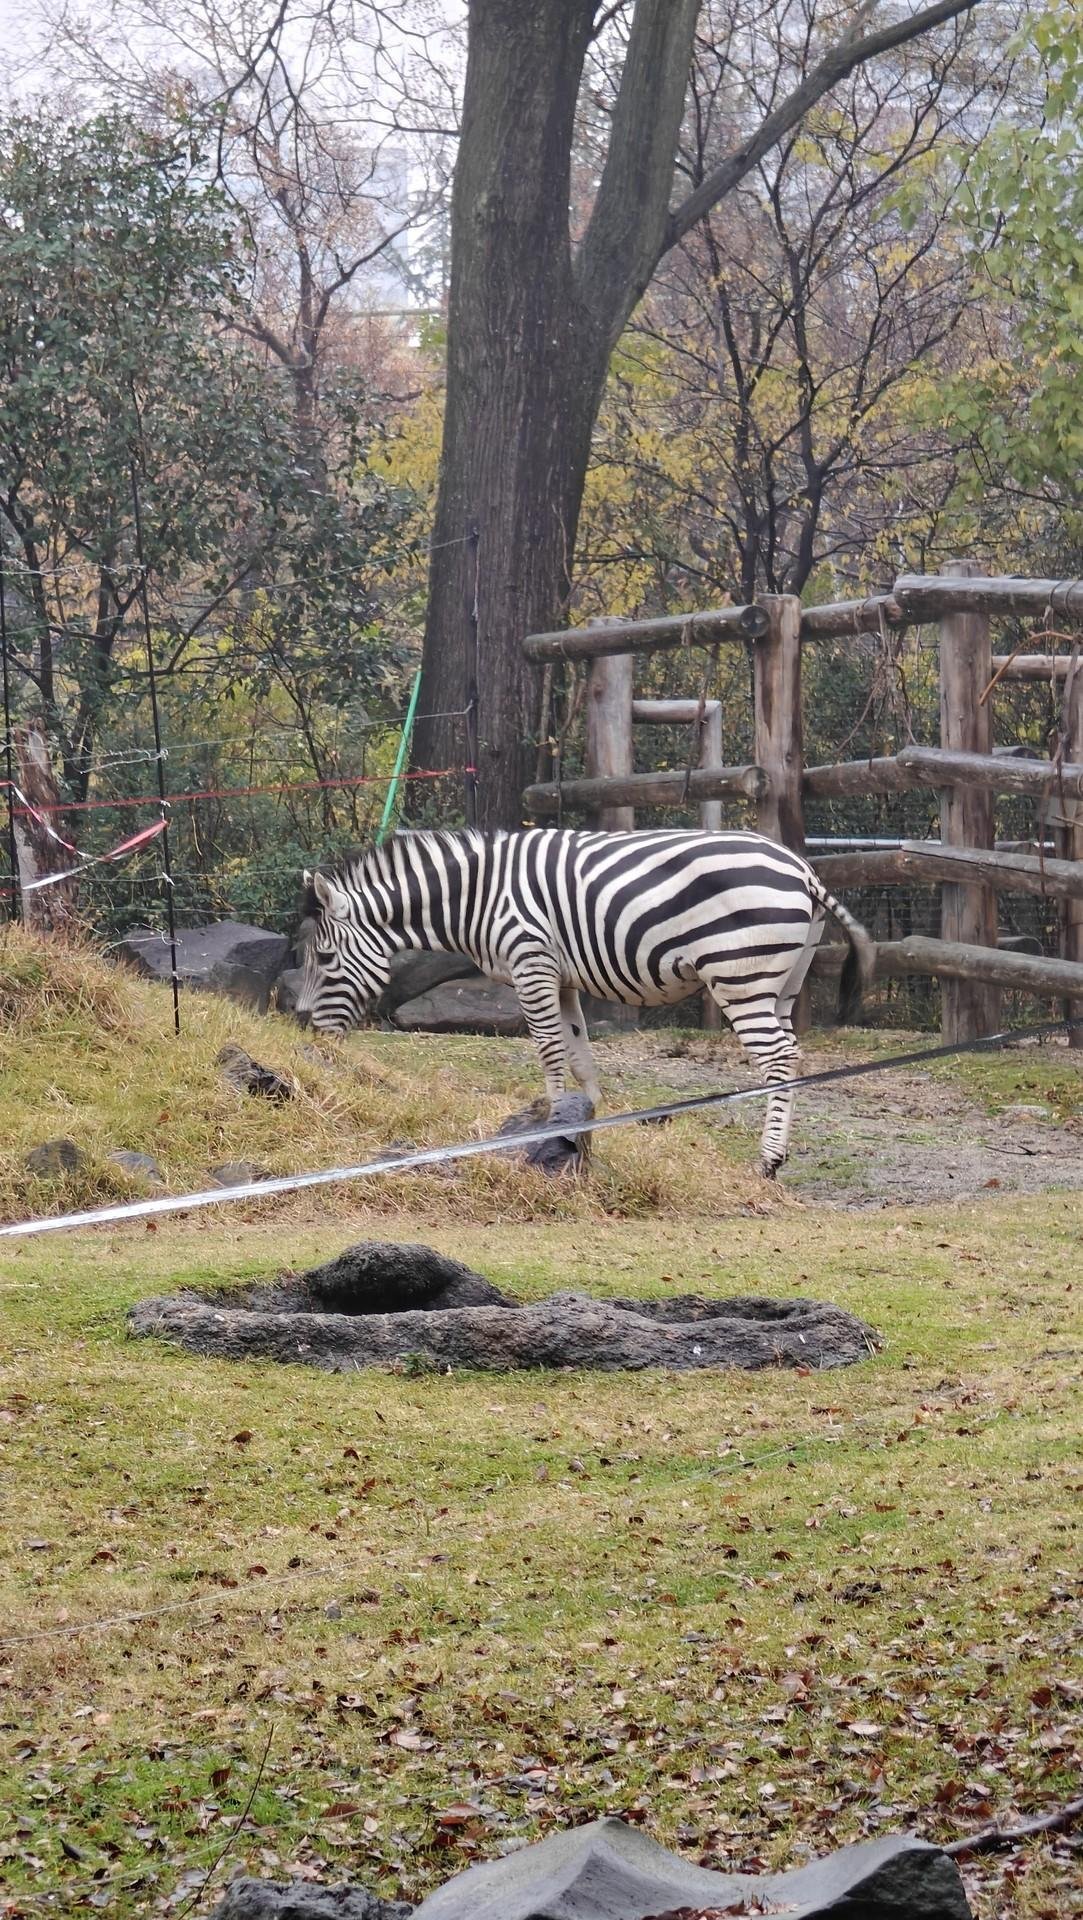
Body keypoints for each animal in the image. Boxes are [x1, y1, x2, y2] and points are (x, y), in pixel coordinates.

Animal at [295, 827, 874, 1177]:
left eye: (323, 958)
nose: (309, 1036)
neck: (475, 897)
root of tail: (803, 870)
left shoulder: (531, 964)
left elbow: (550, 1052)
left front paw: (548, 1129)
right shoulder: (564, 979)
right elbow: (579, 1055)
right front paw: (586, 1128)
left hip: (739, 973)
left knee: (778, 1058)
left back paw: (769, 1161)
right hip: (784, 980)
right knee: (790, 1053)